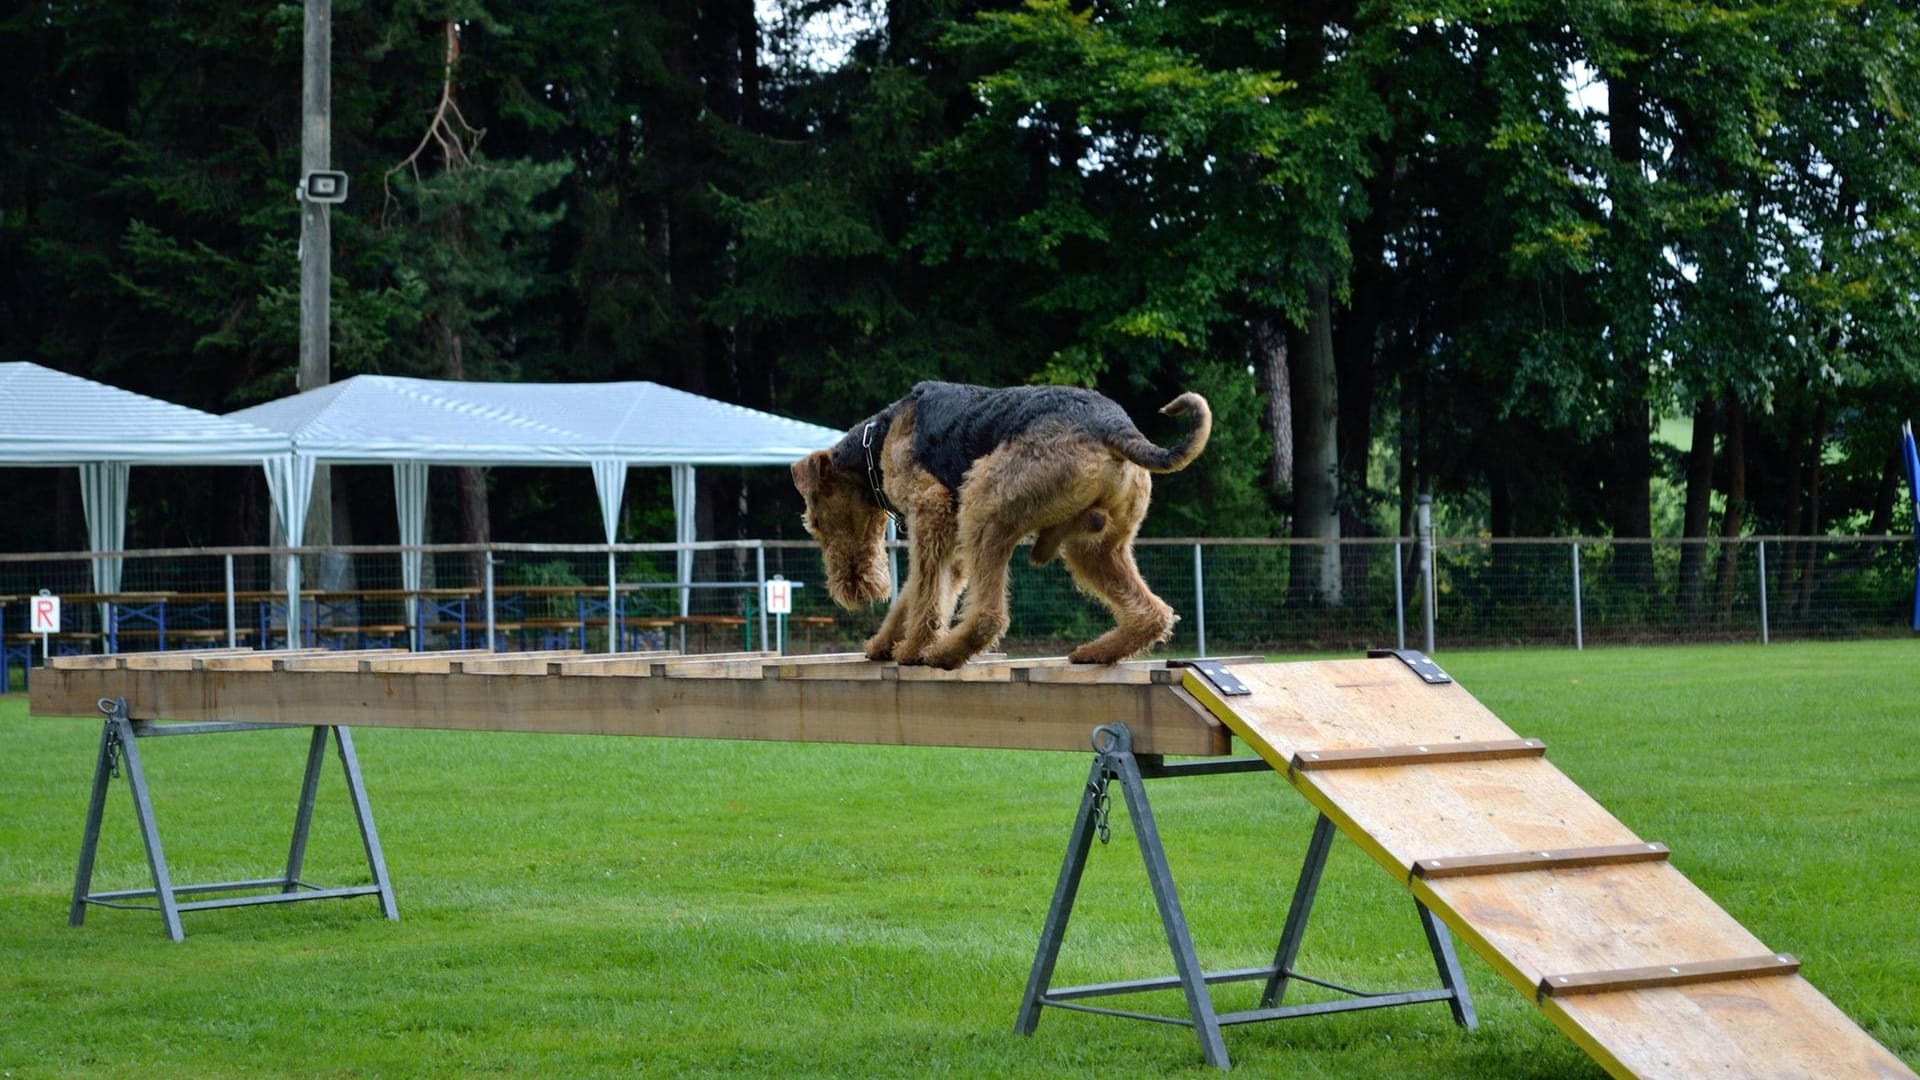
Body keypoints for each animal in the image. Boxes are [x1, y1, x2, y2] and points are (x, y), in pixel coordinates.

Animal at [794, 378, 1213, 664]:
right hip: (1096, 548)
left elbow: (925, 598)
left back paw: (941, 654)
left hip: (983, 505)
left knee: (989, 617)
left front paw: (910, 648)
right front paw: (881, 645)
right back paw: (1094, 652)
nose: (854, 589)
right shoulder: (953, 548)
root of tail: (1114, 426)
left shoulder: (931, 511)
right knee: (1152, 613)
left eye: (816, 524)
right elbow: (917, 594)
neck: (878, 439)